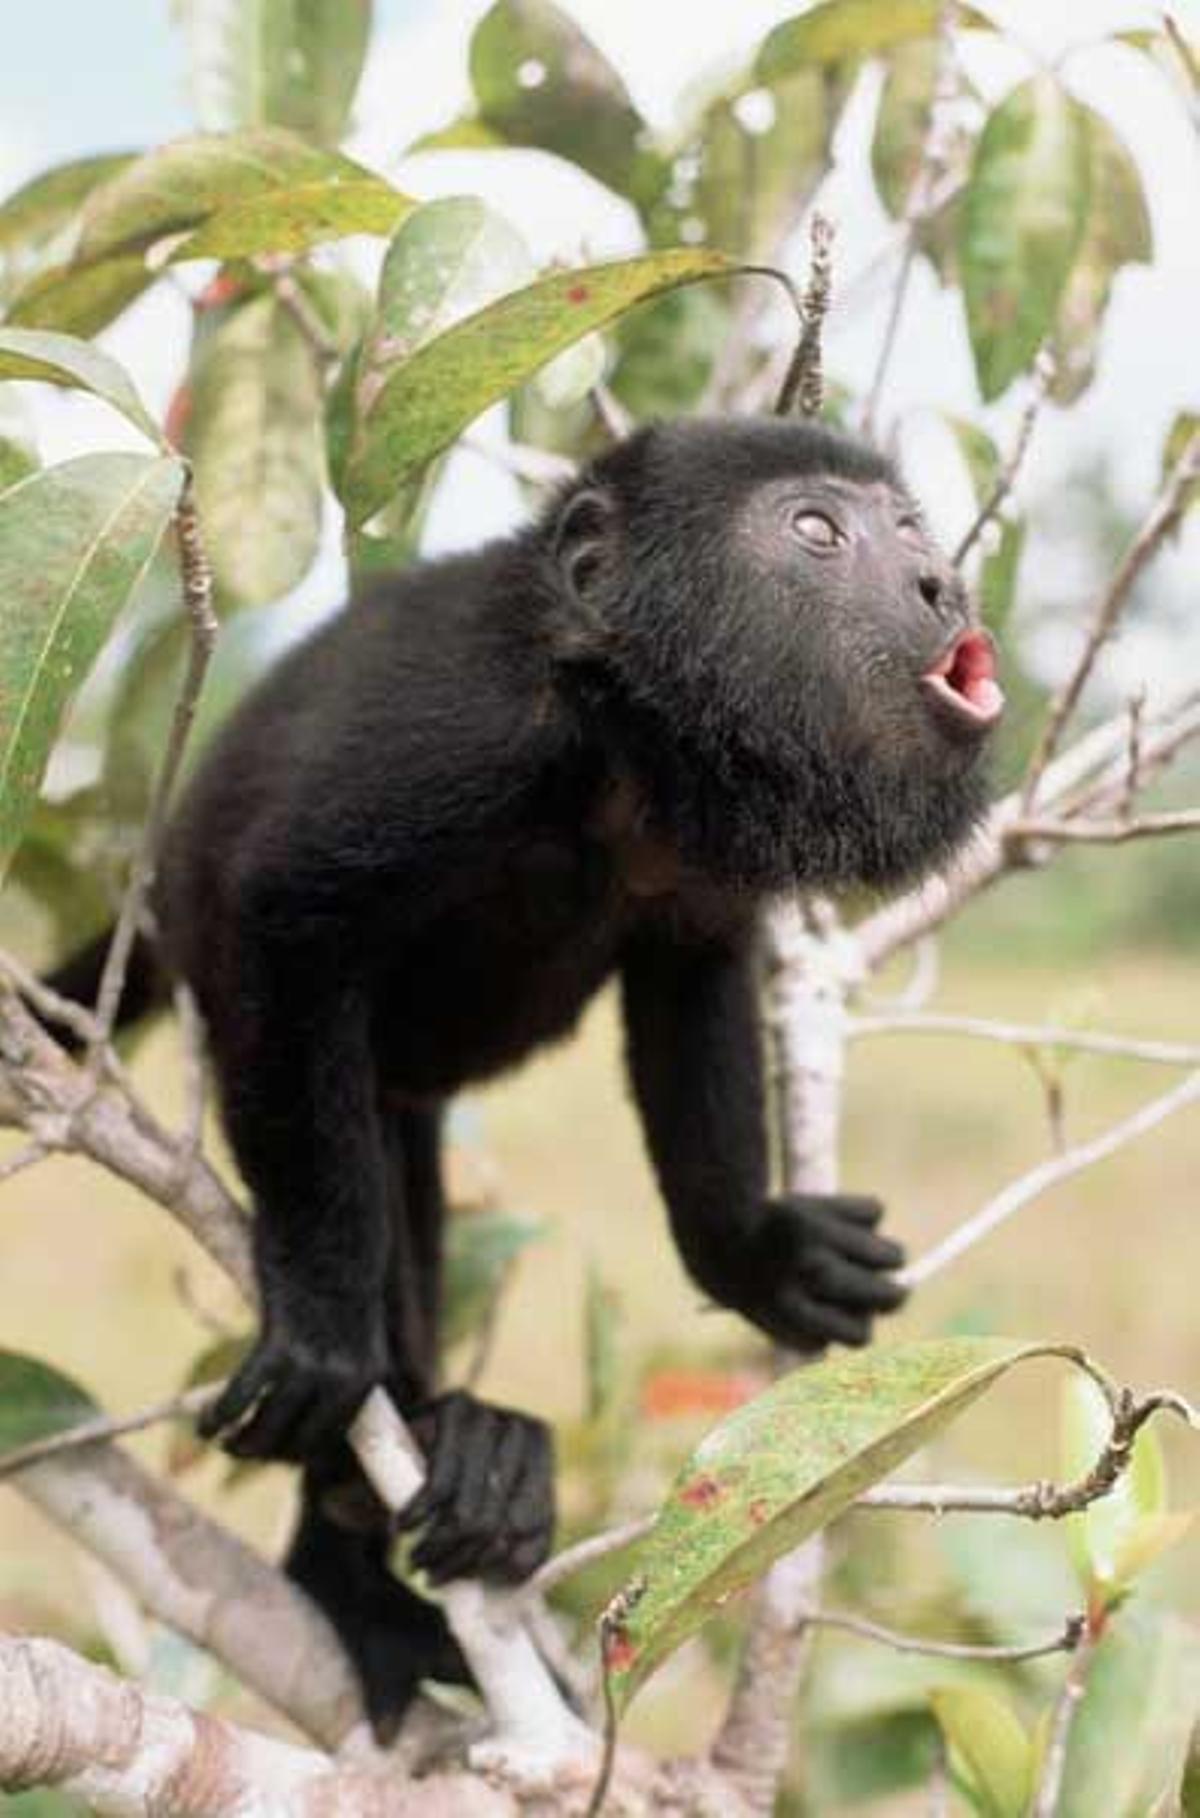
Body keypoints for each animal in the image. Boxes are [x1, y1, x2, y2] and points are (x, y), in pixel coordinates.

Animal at [46, 416, 1003, 1730]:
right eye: (817, 530)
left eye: (908, 525)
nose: (940, 582)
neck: (622, 746)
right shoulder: (469, 728)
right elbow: (284, 914)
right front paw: (330, 1331)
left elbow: (694, 974)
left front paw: (755, 1251)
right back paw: (400, 1465)